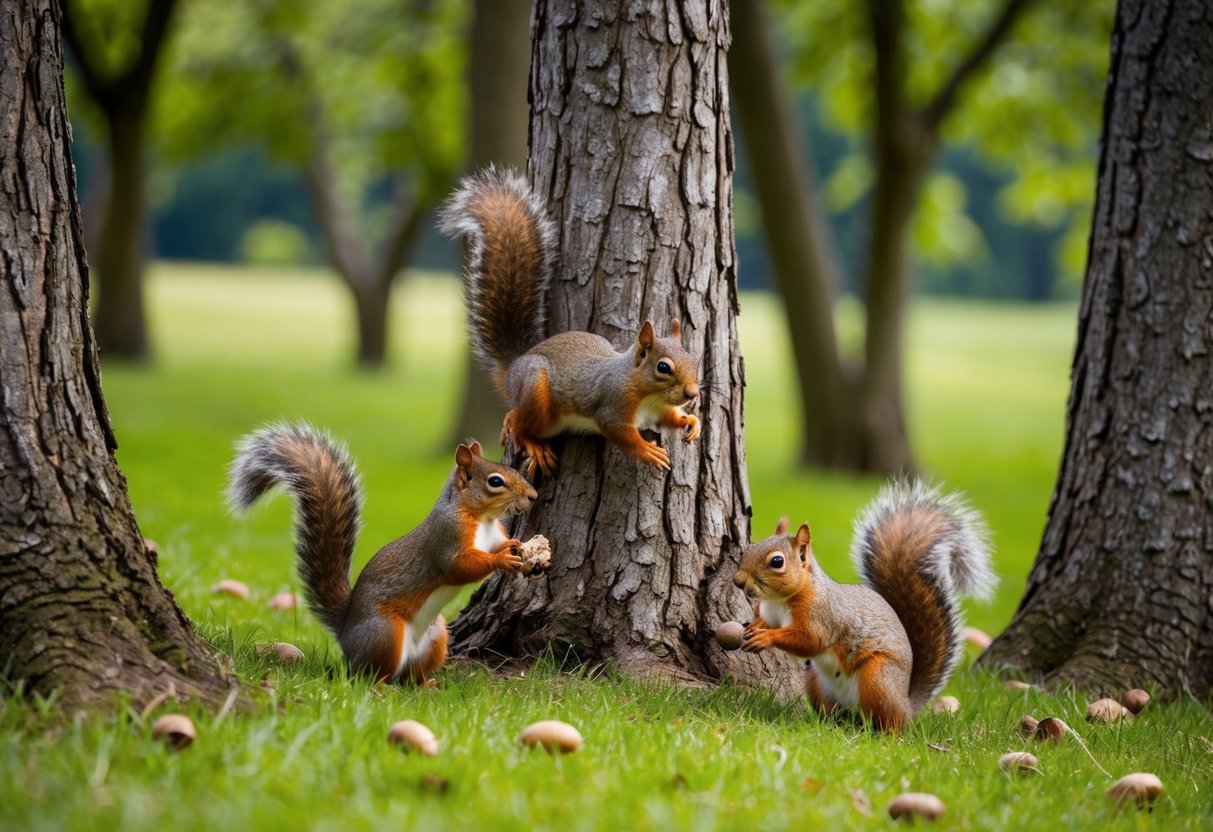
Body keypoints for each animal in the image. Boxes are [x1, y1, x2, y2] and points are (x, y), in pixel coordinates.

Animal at [227, 422, 537, 684]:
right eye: (495, 481)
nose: (533, 496)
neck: (482, 519)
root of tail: (345, 631)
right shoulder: (447, 538)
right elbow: (460, 567)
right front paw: (501, 560)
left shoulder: (493, 535)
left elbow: (498, 545)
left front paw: (518, 548)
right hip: (385, 633)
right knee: (370, 676)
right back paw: (382, 687)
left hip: (437, 636)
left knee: (408, 677)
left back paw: (426, 684)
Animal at [438, 167, 702, 479]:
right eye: (663, 367)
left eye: (695, 361)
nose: (692, 393)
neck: (647, 393)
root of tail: (514, 365)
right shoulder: (612, 406)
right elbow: (620, 434)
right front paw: (646, 451)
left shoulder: (660, 411)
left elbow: (672, 419)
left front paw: (691, 421)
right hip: (535, 390)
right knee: (521, 422)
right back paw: (529, 439)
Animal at [732, 480, 995, 732]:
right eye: (750, 548)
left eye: (777, 561)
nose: (738, 581)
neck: (778, 600)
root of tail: (907, 705)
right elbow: (768, 623)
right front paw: (752, 627)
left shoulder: (823, 615)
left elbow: (811, 640)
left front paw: (767, 637)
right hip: (817, 684)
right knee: (838, 715)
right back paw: (829, 726)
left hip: (877, 678)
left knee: (890, 721)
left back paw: (886, 734)